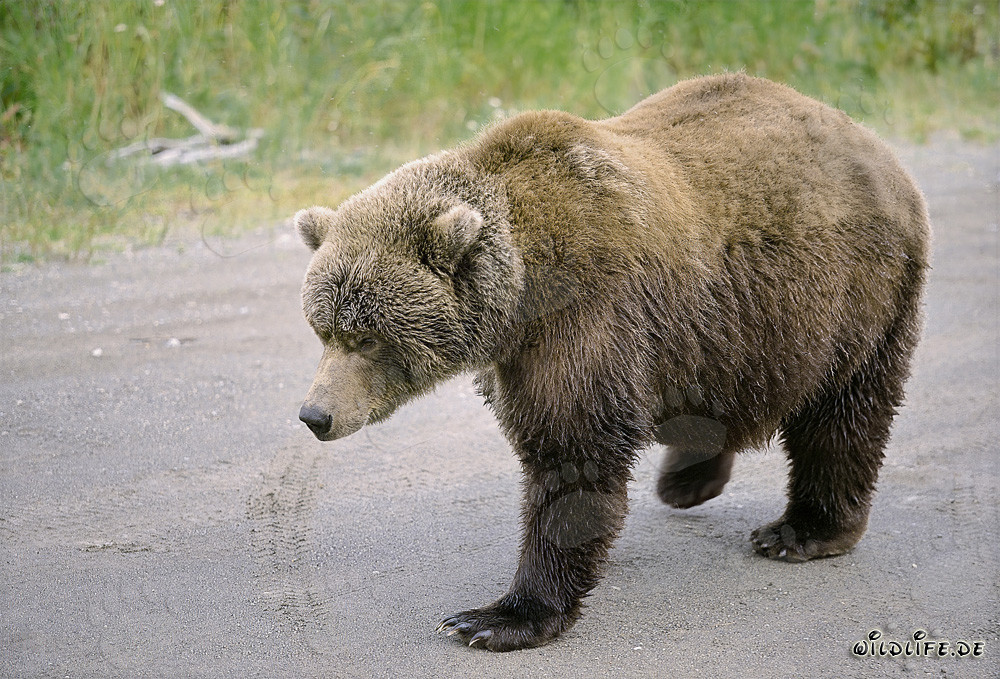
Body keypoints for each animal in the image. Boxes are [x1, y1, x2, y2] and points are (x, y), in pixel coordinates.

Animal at [294, 73, 929, 651]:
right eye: (323, 329)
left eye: (367, 336)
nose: (316, 415)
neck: (522, 296)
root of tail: (875, 145)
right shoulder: (526, 351)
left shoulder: (587, 317)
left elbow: (572, 450)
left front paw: (497, 618)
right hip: (729, 328)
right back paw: (687, 480)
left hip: (850, 297)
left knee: (843, 412)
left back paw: (802, 530)